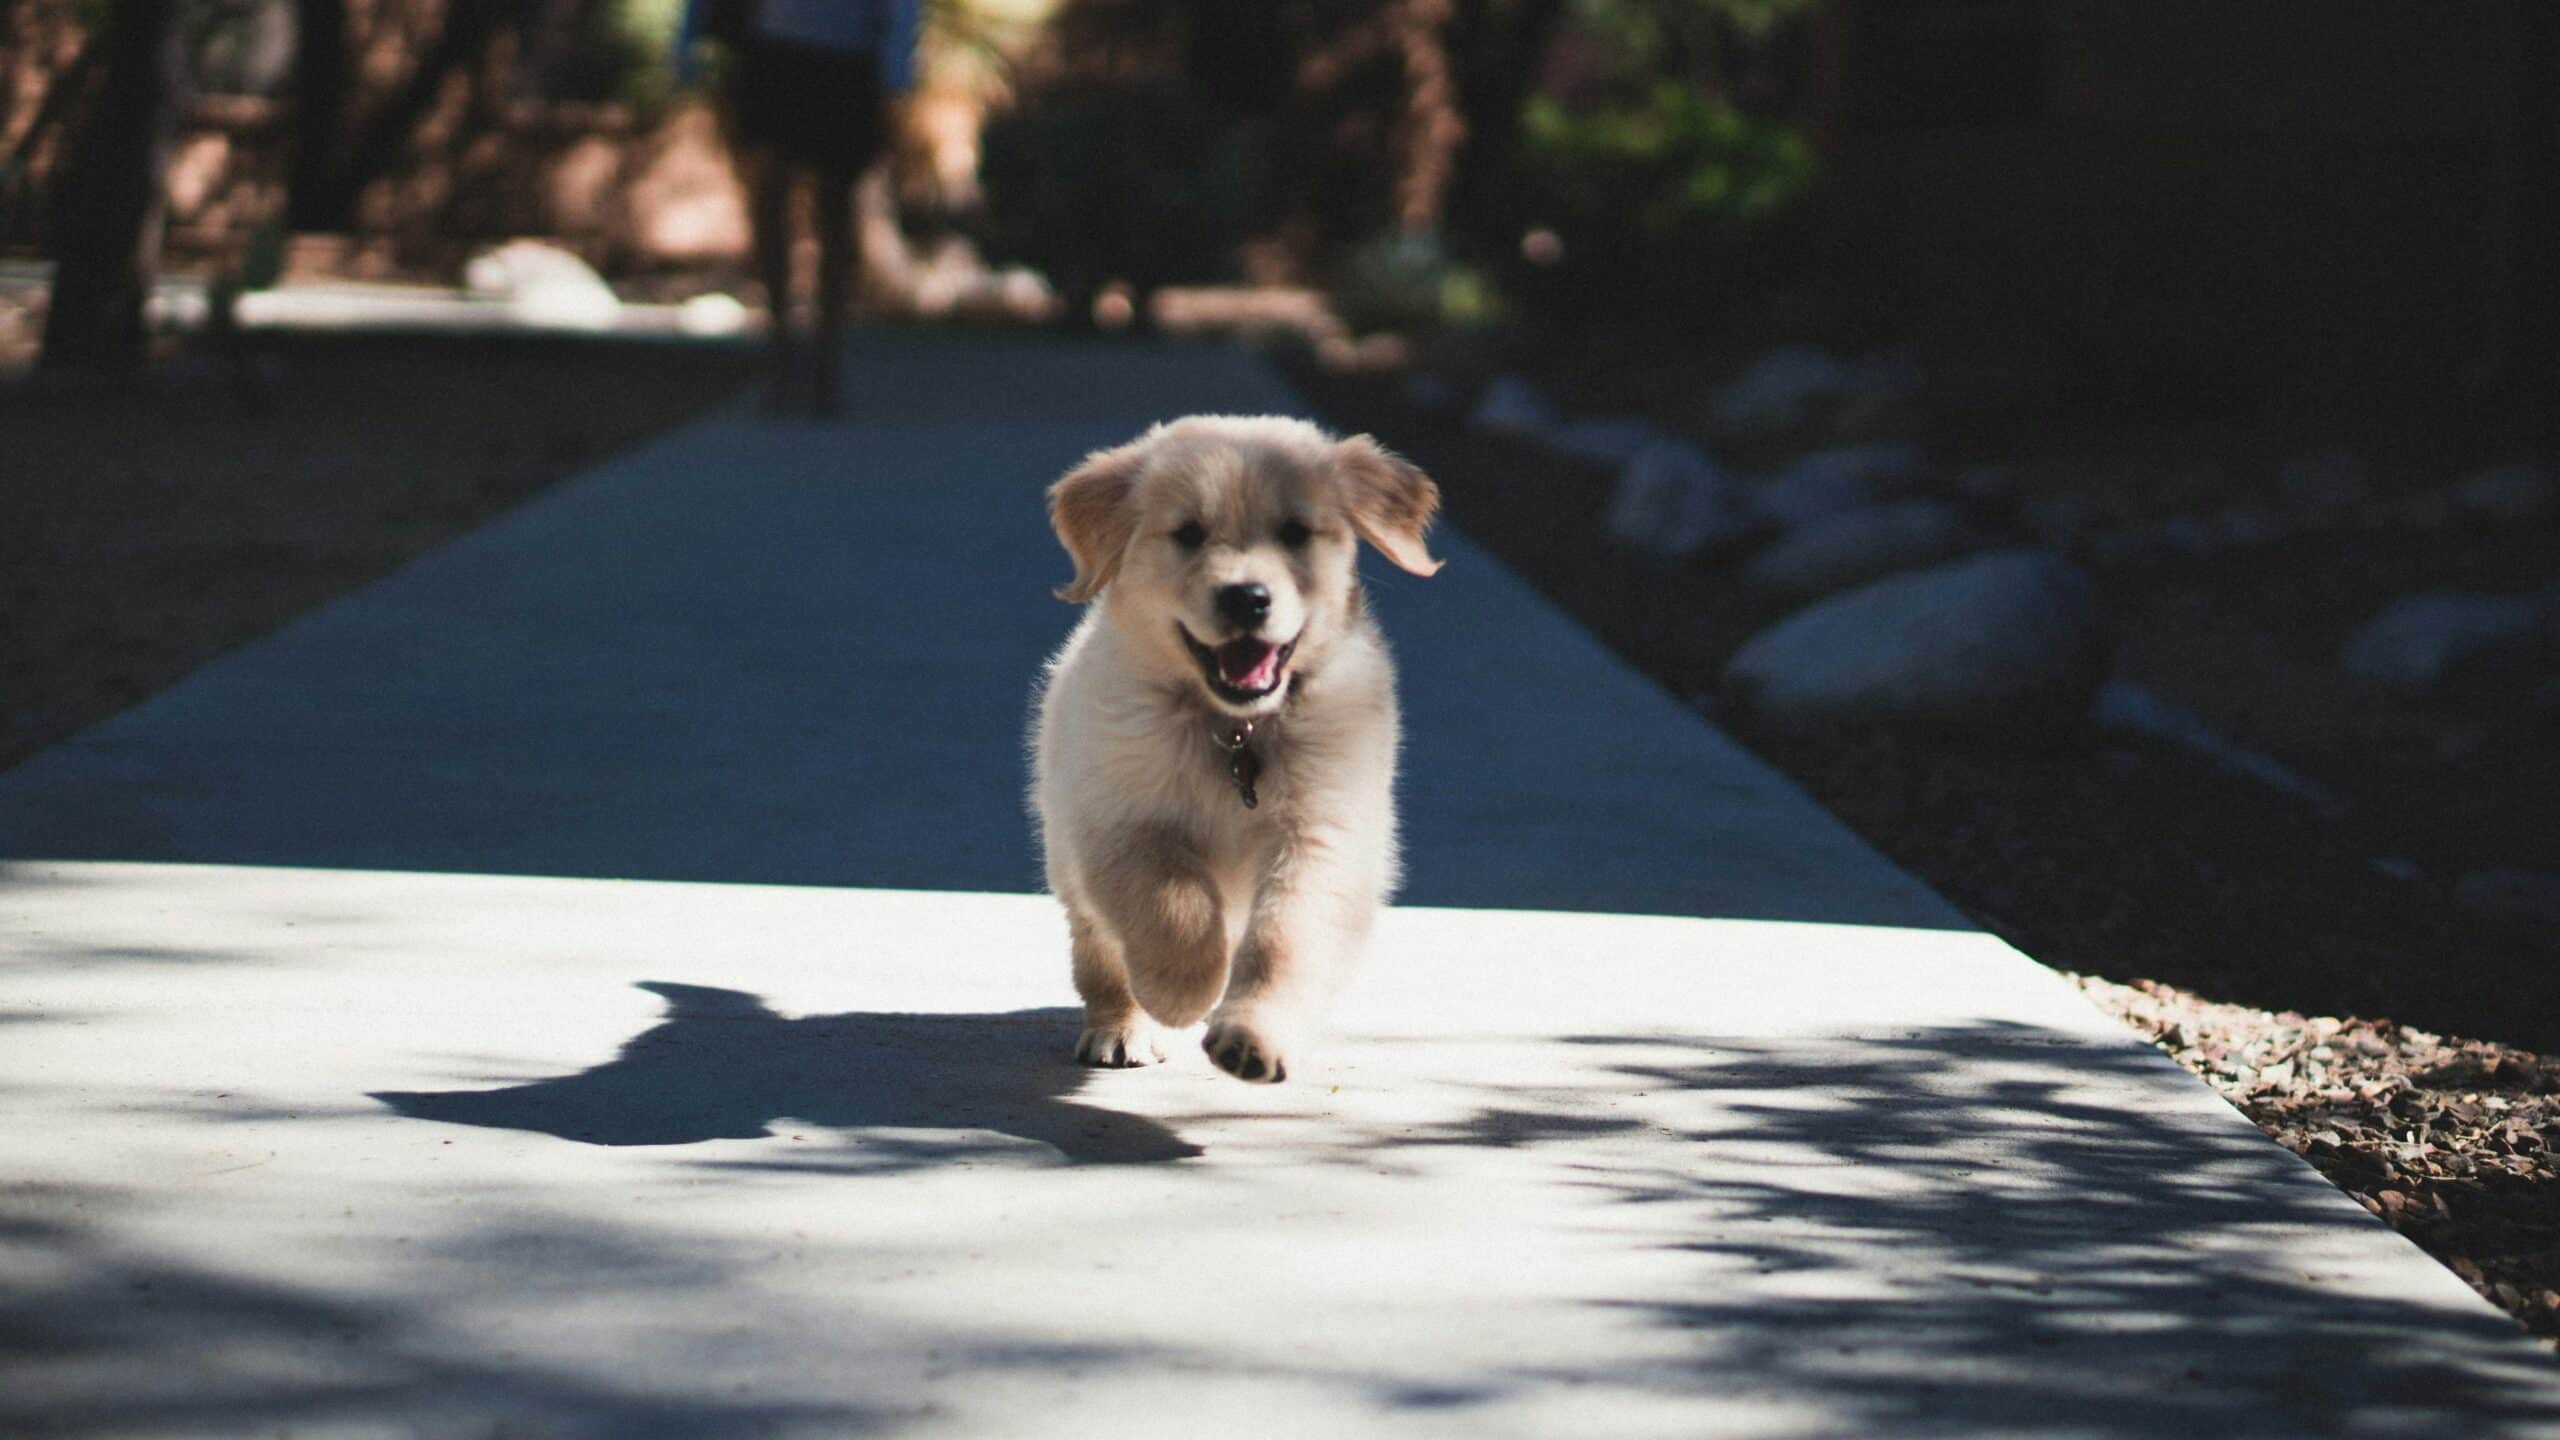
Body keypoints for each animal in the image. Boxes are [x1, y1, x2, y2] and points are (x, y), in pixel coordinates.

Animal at [1034, 412, 1443, 1076]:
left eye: (1295, 533)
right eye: (1189, 534)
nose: (1246, 598)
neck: (1234, 727)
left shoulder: (1323, 832)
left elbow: (1286, 938)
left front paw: (1254, 1036)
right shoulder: (1119, 820)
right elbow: (1171, 903)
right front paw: (1182, 991)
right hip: (1067, 854)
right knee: (1099, 952)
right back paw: (1121, 1027)